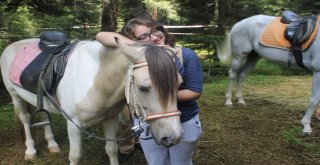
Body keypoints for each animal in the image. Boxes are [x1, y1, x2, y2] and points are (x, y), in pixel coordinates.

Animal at [0, 37, 182, 165]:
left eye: (179, 84)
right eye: (143, 88)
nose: (173, 137)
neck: (97, 80)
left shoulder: (111, 119)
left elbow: (112, 150)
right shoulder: (73, 125)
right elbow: (75, 156)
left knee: (45, 117)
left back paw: (52, 145)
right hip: (15, 96)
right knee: (25, 119)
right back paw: (30, 151)